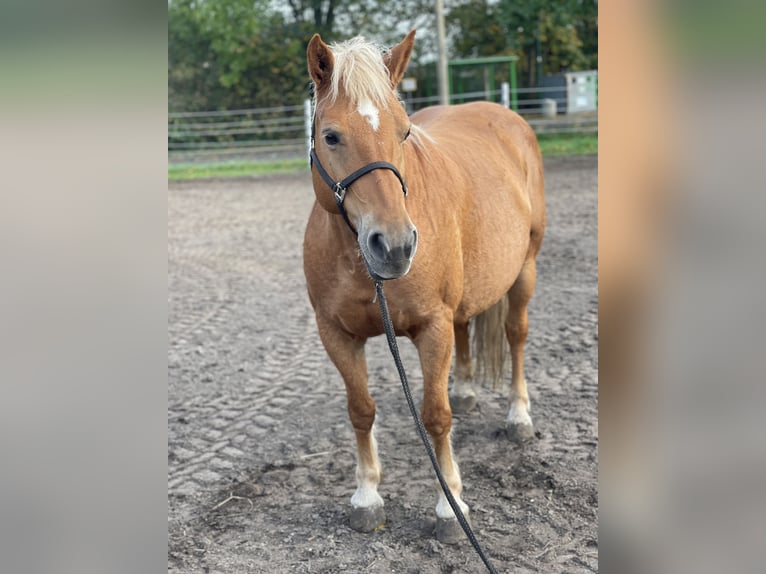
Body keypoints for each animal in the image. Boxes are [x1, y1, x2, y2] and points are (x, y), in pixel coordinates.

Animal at [304, 31, 548, 544]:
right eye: (331, 135)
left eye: (404, 132)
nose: (394, 245)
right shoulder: (336, 333)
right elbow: (361, 409)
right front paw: (367, 496)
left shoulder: (431, 328)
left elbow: (435, 415)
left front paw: (450, 504)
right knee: (465, 330)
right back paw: (468, 390)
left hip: (525, 271)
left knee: (516, 336)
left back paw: (519, 416)